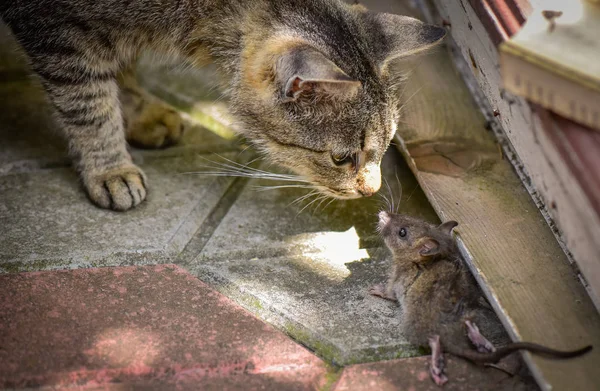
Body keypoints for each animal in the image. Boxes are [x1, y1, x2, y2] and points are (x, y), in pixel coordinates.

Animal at [1, 0, 446, 211]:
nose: (373, 190)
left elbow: (117, 70)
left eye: (386, 146)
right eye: (341, 158)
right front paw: (110, 169)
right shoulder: (59, 34)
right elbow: (88, 103)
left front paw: (139, 111)